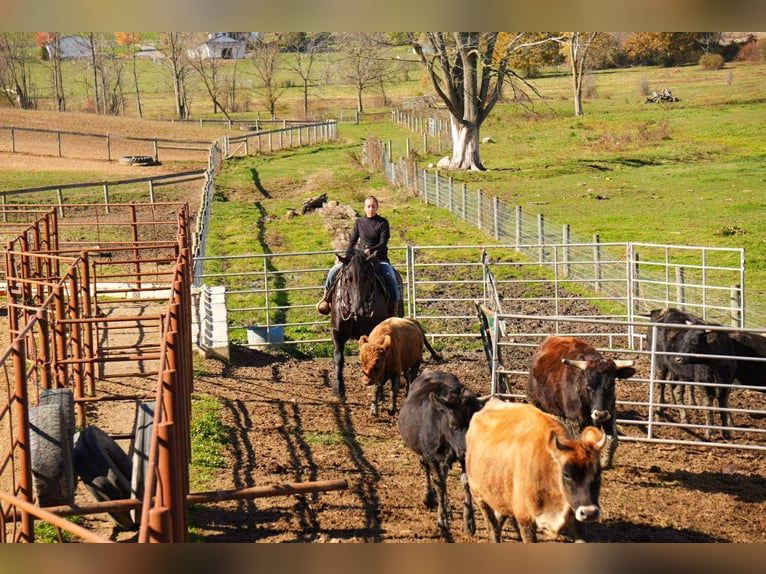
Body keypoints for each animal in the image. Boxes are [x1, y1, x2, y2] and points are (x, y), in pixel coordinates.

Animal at [329, 250, 403, 399]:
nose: (360, 310)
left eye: (367, 279)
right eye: (348, 279)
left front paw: (379, 391)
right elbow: (338, 358)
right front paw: (339, 391)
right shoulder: (337, 332)